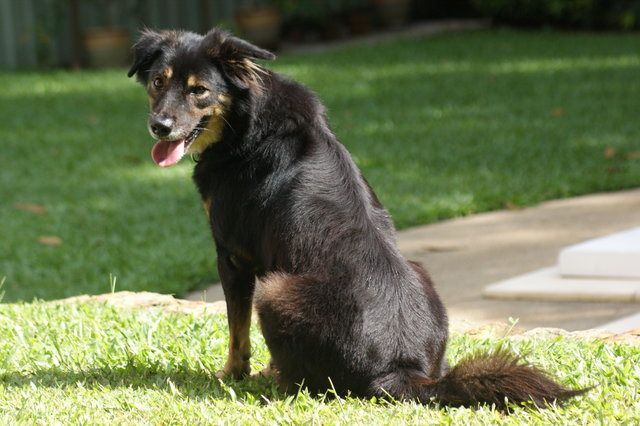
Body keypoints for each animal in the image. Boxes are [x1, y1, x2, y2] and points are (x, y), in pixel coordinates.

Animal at [129, 28, 584, 408]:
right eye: (158, 83)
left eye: (200, 91)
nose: (158, 126)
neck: (247, 122)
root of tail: (401, 372)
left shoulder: (233, 256)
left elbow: (236, 332)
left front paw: (232, 374)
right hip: (419, 271)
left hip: (274, 292)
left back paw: (273, 380)